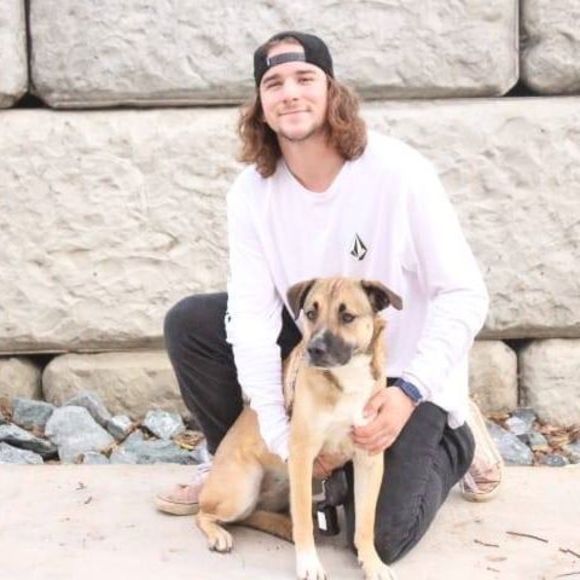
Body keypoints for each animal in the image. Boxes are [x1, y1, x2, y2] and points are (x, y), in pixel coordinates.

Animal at [196, 277, 402, 580]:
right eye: (311, 313)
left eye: (347, 316)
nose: (314, 349)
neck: (346, 378)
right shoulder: (303, 456)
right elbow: (303, 518)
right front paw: (309, 564)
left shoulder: (369, 457)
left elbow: (366, 522)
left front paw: (372, 563)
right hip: (244, 488)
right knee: (204, 513)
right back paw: (219, 534)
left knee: (252, 515)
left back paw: (280, 526)